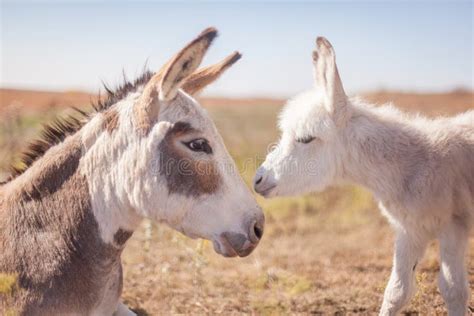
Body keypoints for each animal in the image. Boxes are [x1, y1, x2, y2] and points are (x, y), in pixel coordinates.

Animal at [256, 37, 474, 316]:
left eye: (305, 139)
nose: (258, 180)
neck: (415, 164)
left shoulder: (453, 224)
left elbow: (453, 290)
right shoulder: (409, 229)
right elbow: (397, 291)